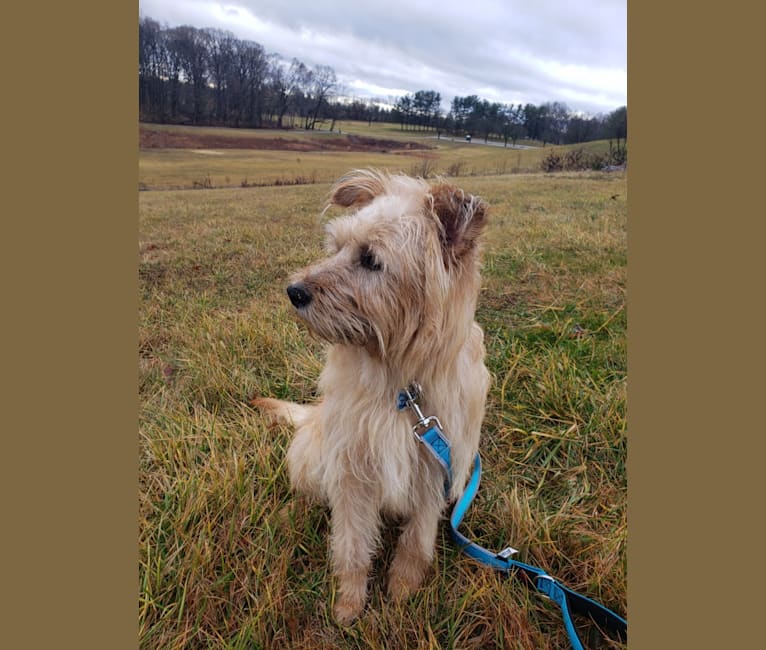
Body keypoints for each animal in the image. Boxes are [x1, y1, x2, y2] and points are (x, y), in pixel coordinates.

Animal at [254, 167, 492, 624]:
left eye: (370, 260)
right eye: (337, 247)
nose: (293, 291)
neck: (400, 386)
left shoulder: (435, 469)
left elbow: (416, 540)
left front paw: (402, 589)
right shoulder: (353, 469)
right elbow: (350, 544)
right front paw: (349, 603)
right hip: (315, 450)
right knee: (307, 488)